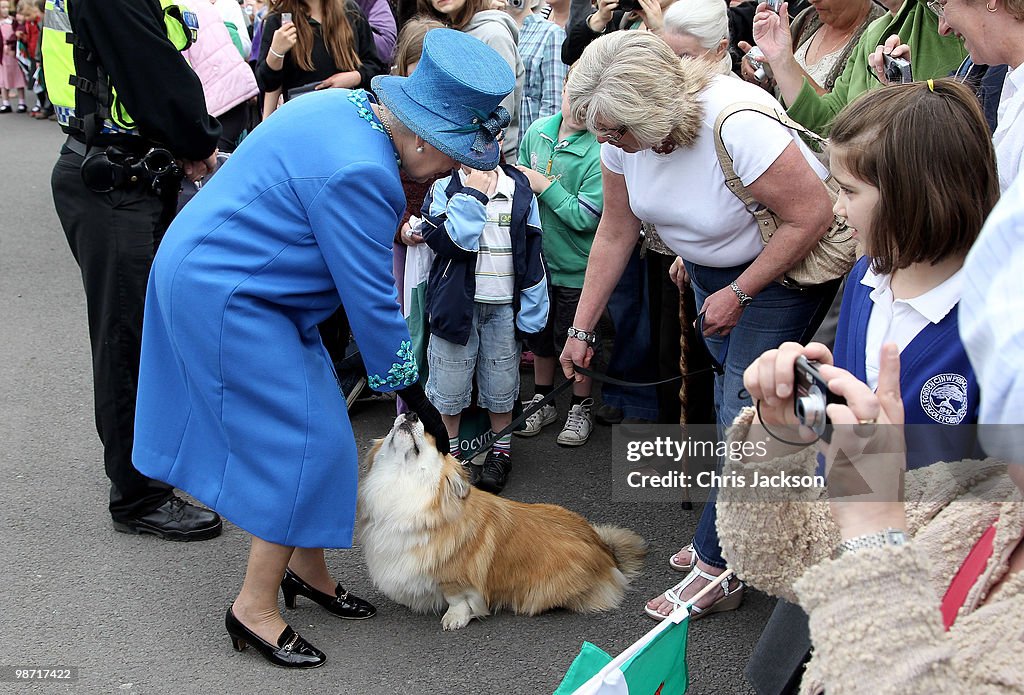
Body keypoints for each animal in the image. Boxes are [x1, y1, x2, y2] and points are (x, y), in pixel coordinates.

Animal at [360, 413, 643, 630]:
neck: (403, 487)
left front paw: (455, 619)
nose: (411, 414)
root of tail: (606, 551)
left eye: (432, 441)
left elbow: (457, 599)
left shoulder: (454, 578)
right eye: (390, 431)